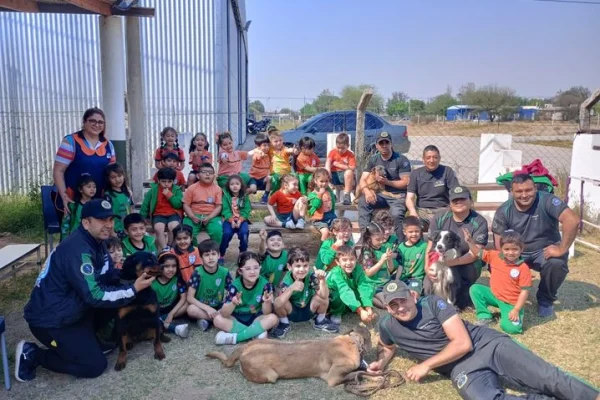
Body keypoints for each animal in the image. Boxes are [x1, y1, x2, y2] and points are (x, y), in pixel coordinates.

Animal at [205, 326, 370, 386]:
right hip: (270, 375)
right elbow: (351, 375)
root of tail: (244, 349)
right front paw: (360, 376)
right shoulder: (333, 377)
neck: (353, 341)